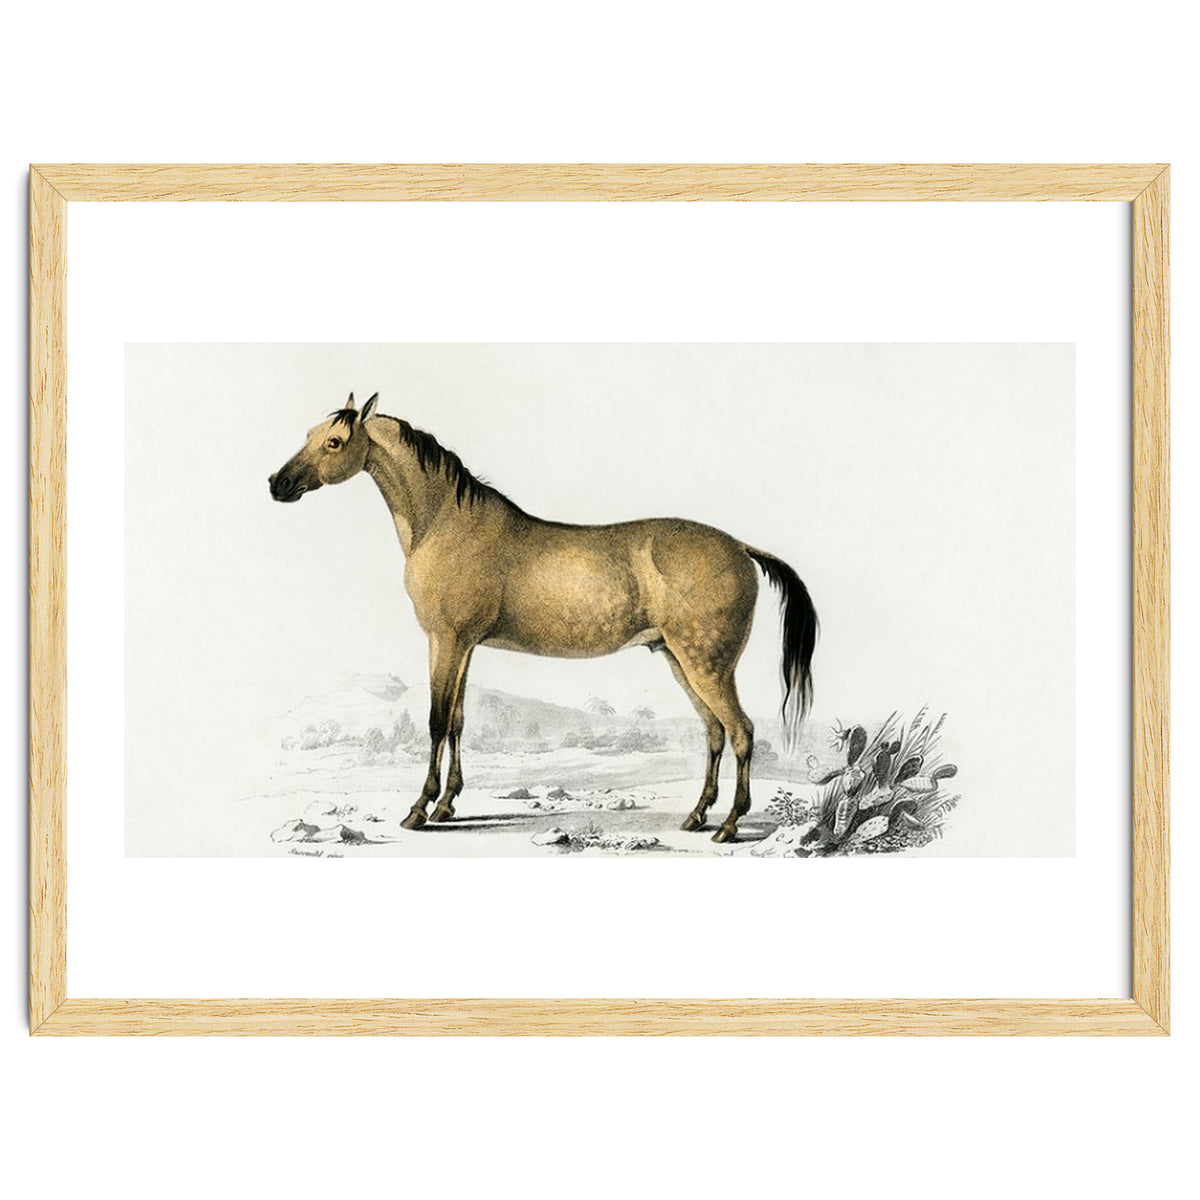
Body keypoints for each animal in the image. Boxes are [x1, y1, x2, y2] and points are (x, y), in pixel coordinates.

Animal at [269, 393, 817, 843]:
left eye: (335, 441)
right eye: (309, 434)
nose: (278, 484)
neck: (447, 523)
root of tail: (740, 547)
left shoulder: (445, 641)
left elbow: (435, 721)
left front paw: (419, 810)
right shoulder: (463, 646)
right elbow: (458, 722)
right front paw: (448, 805)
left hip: (707, 664)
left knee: (741, 731)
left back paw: (729, 825)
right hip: (680, 661)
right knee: (715, 732)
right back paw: (697, 816)